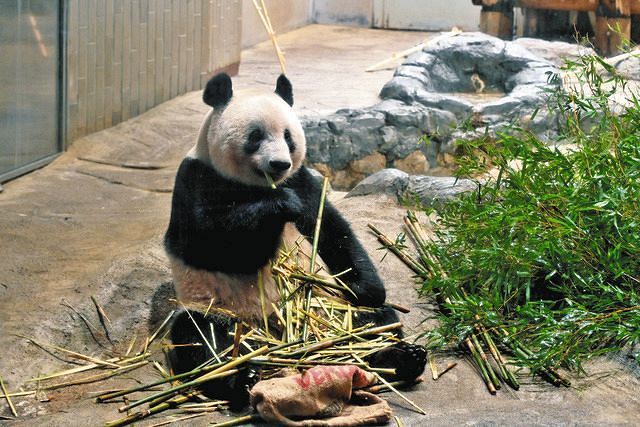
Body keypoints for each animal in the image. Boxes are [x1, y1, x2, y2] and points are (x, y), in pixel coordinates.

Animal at [164, 74, 424, 412]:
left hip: (331, 307)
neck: (258, 185)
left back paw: (399, 358)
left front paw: (366, 288)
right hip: (219, 310)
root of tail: (279, 336)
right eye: (255, 136)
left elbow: (331, 229)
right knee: (202, 339)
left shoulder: (302, 178)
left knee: (375, 323)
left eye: (288, 137)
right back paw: (241, 379)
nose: (279, 164)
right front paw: (281, 205)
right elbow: (214, 245)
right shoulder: (197, 180)